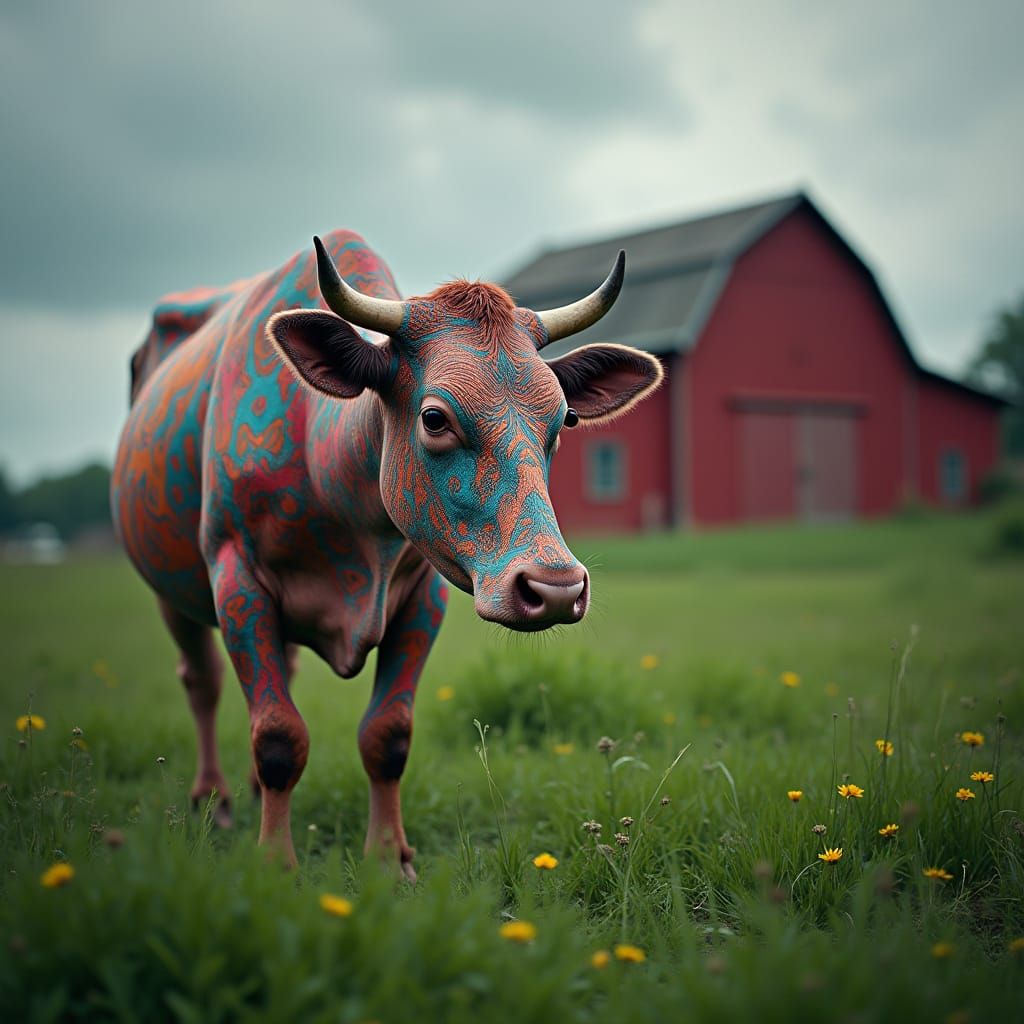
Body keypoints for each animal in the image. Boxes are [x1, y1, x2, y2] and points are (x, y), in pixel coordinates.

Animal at [112, 230, 662, 876]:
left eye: (564, 419)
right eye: (435, 417)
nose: (554, 588)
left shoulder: (423, 595)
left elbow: (387, 735)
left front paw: (387, 859)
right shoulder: (236, 579)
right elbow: (277, 735)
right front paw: (275, 862)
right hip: (173, 590)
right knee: (202, 682)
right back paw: (213, 798)